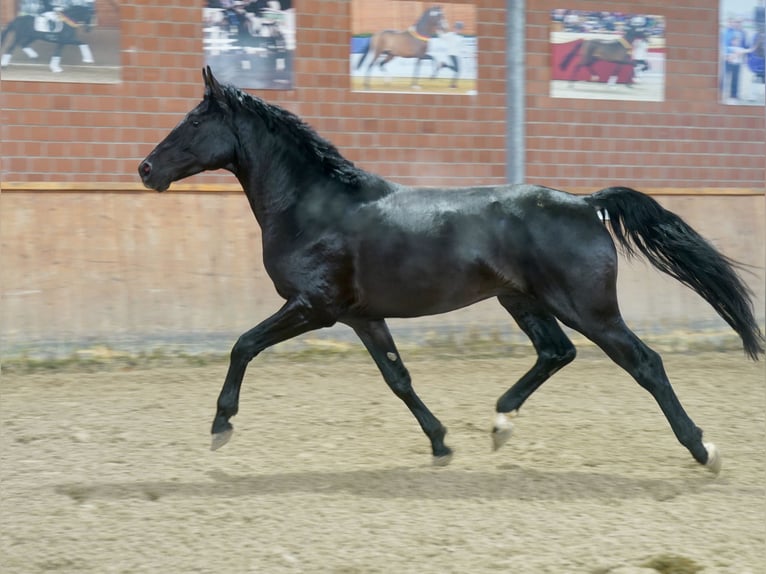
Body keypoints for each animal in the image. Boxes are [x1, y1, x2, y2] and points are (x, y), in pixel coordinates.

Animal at [141, 66, 764, 472]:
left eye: (193, 122)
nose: (146, 169)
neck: (313, 206)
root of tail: (586, 204)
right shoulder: (360, 316)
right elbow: (398, 378)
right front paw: (442, 444)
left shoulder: (313, 307)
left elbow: (243, 345)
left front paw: (221, 427)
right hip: (522, 300)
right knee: (556, 352)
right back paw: (499, 424)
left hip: (587, 307)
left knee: (644, 363)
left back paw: (703, 450)